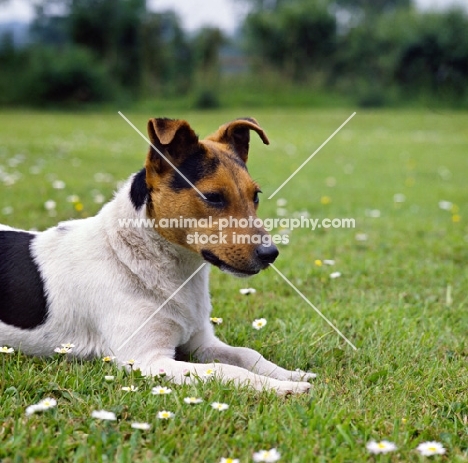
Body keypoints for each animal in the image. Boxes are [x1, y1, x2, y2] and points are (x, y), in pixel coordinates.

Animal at [0, 117, 314, 396]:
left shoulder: (200, 341)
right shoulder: (148, 359)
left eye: (256, 195)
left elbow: (247, 355)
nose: (270, 254)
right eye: (213, 197)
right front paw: (281, 388)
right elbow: (227, 370)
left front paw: (290, 374)